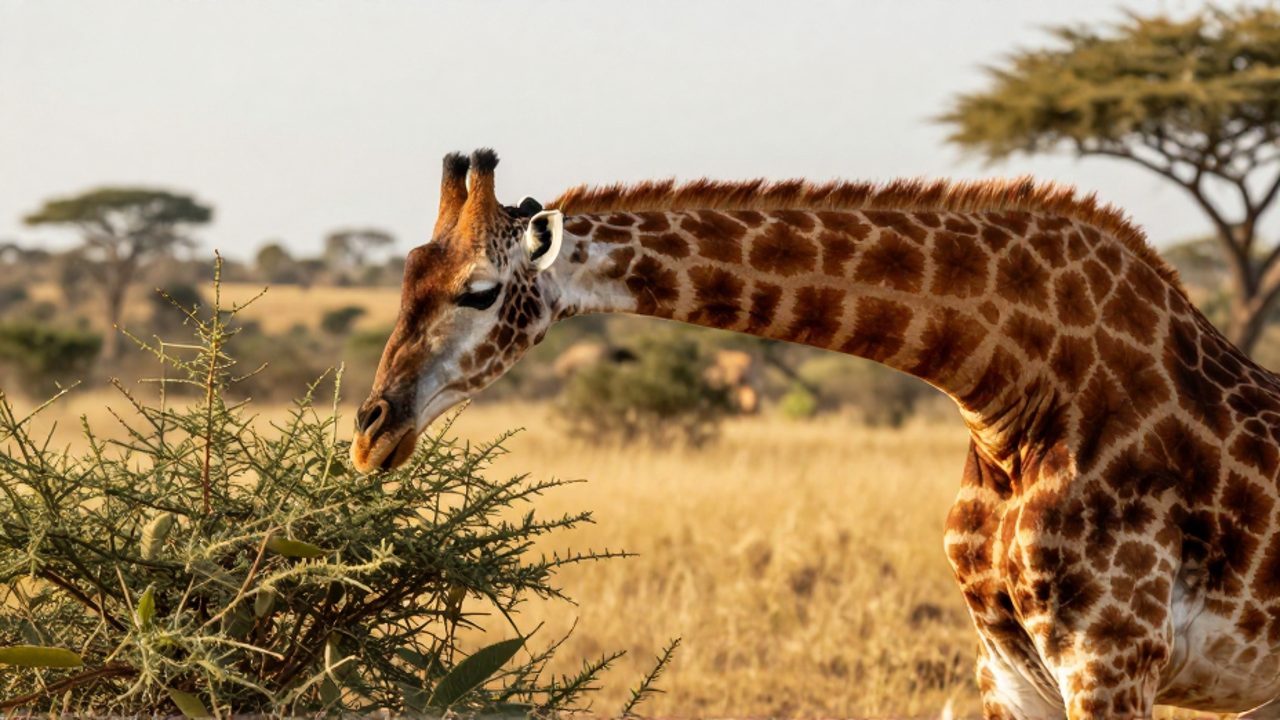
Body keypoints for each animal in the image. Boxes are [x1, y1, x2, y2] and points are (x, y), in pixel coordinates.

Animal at [351, 149, 1280, 719]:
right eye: (404, 275)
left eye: (477, 291)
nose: (371, 431)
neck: (1012, 394)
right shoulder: (1010, 665)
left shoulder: (1113, 657)